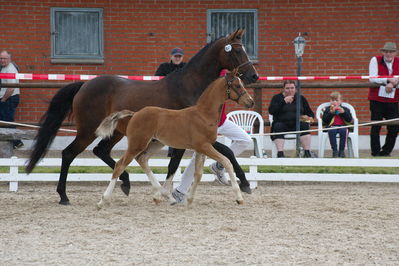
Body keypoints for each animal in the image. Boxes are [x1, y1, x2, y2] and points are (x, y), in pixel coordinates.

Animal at [95, 70, 255, 208]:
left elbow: (198, 174)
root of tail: (135, 114)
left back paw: (161, 196)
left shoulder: (200, 149)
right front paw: (239, 198)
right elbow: (227, 162)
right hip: (137, 144)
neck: (203, 115)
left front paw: (189, 200)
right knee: (120, 165)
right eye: (237, 85)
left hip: (155, 143)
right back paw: (103, 201)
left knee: (142, 159)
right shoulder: (205, 146)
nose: (251, 102)